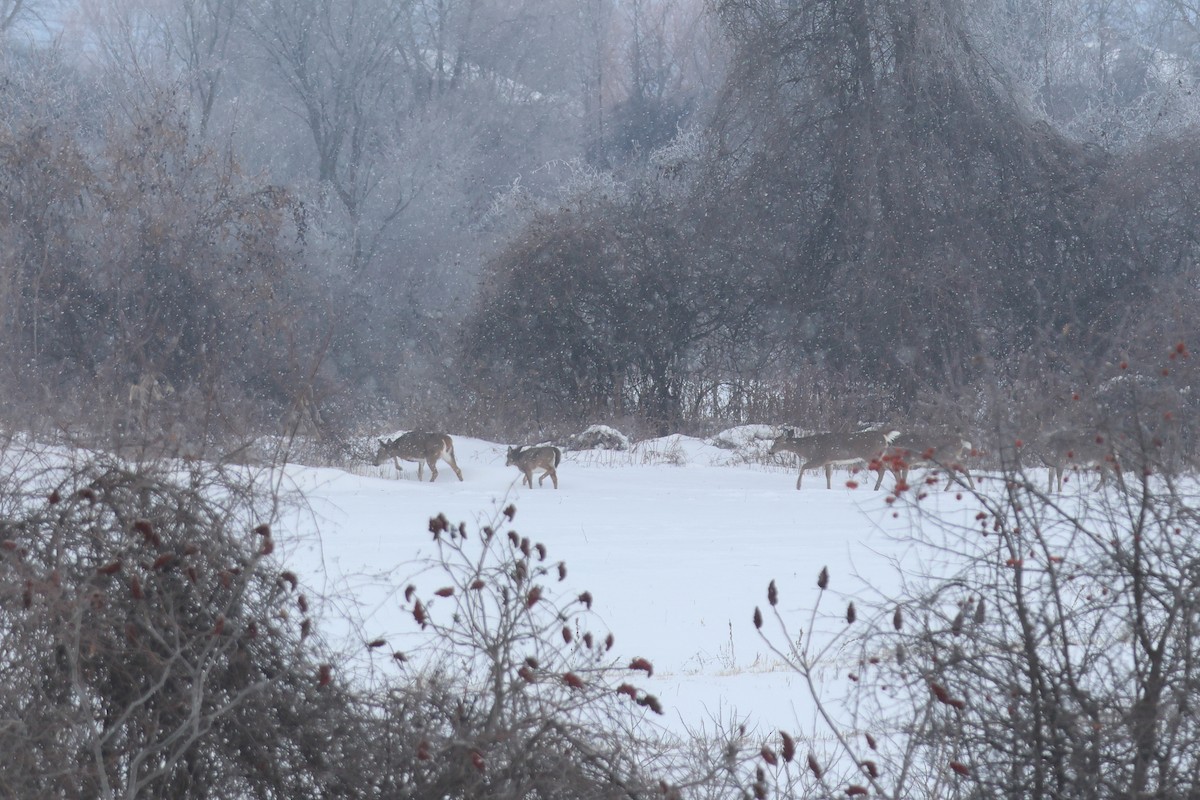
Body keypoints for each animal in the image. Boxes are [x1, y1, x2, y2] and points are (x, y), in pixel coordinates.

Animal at [768, 429, 899, 490]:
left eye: (777, 441)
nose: (770, 452)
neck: (809, 448)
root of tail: (884, 436)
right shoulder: (829, 461)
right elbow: (828, 476)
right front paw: (829, 489)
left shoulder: (820, 458)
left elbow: (803, 467)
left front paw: (798, 486)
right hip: (881, 454)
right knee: (892, 467)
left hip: (871, 455)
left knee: (883, 470)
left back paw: (876, 489)